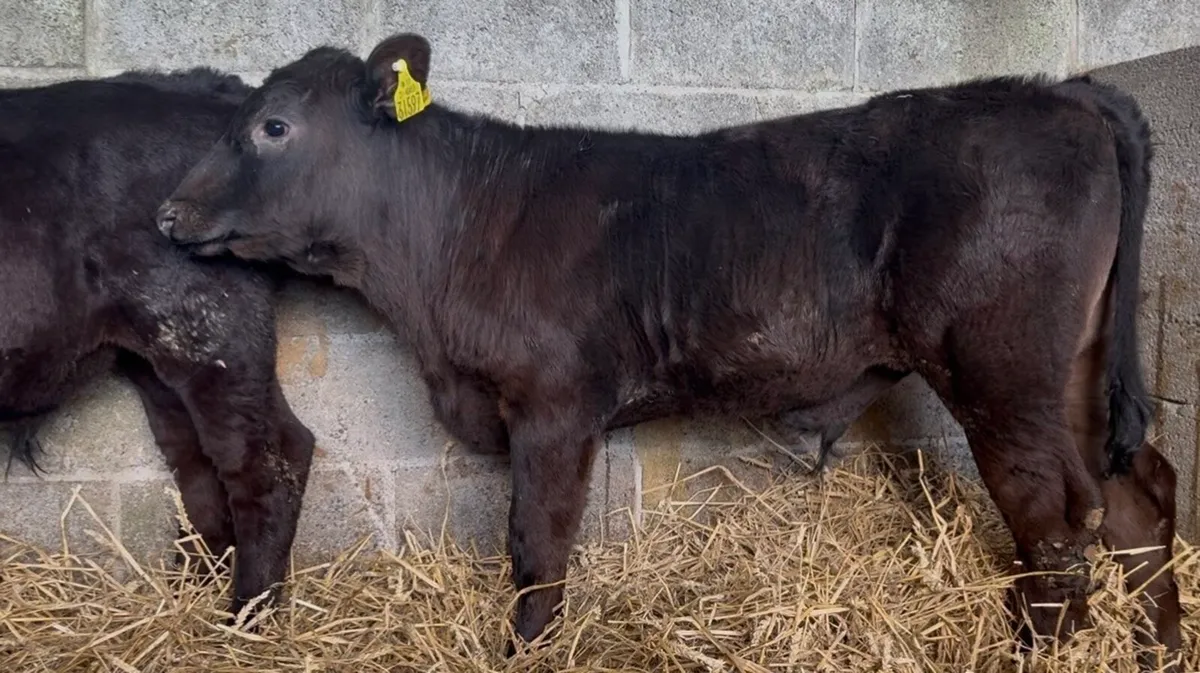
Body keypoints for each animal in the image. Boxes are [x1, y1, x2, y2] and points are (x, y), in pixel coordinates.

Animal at [0, 70, 315, 623]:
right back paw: (191, 589)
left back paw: (244, 619)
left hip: (214, 336)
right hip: (159, 361)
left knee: (270, 459)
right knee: (197, 464)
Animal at [155, 33, 1182, 660]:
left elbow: (536, 541)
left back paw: (1044, 645)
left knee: (1056, 510)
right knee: (1140, 490)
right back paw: (1159, 642)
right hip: (1075, 364)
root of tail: (1063, 93)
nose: (167, 212)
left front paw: (527, 645)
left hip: (1001, 367)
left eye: (273, 126)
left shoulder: (555, 405)